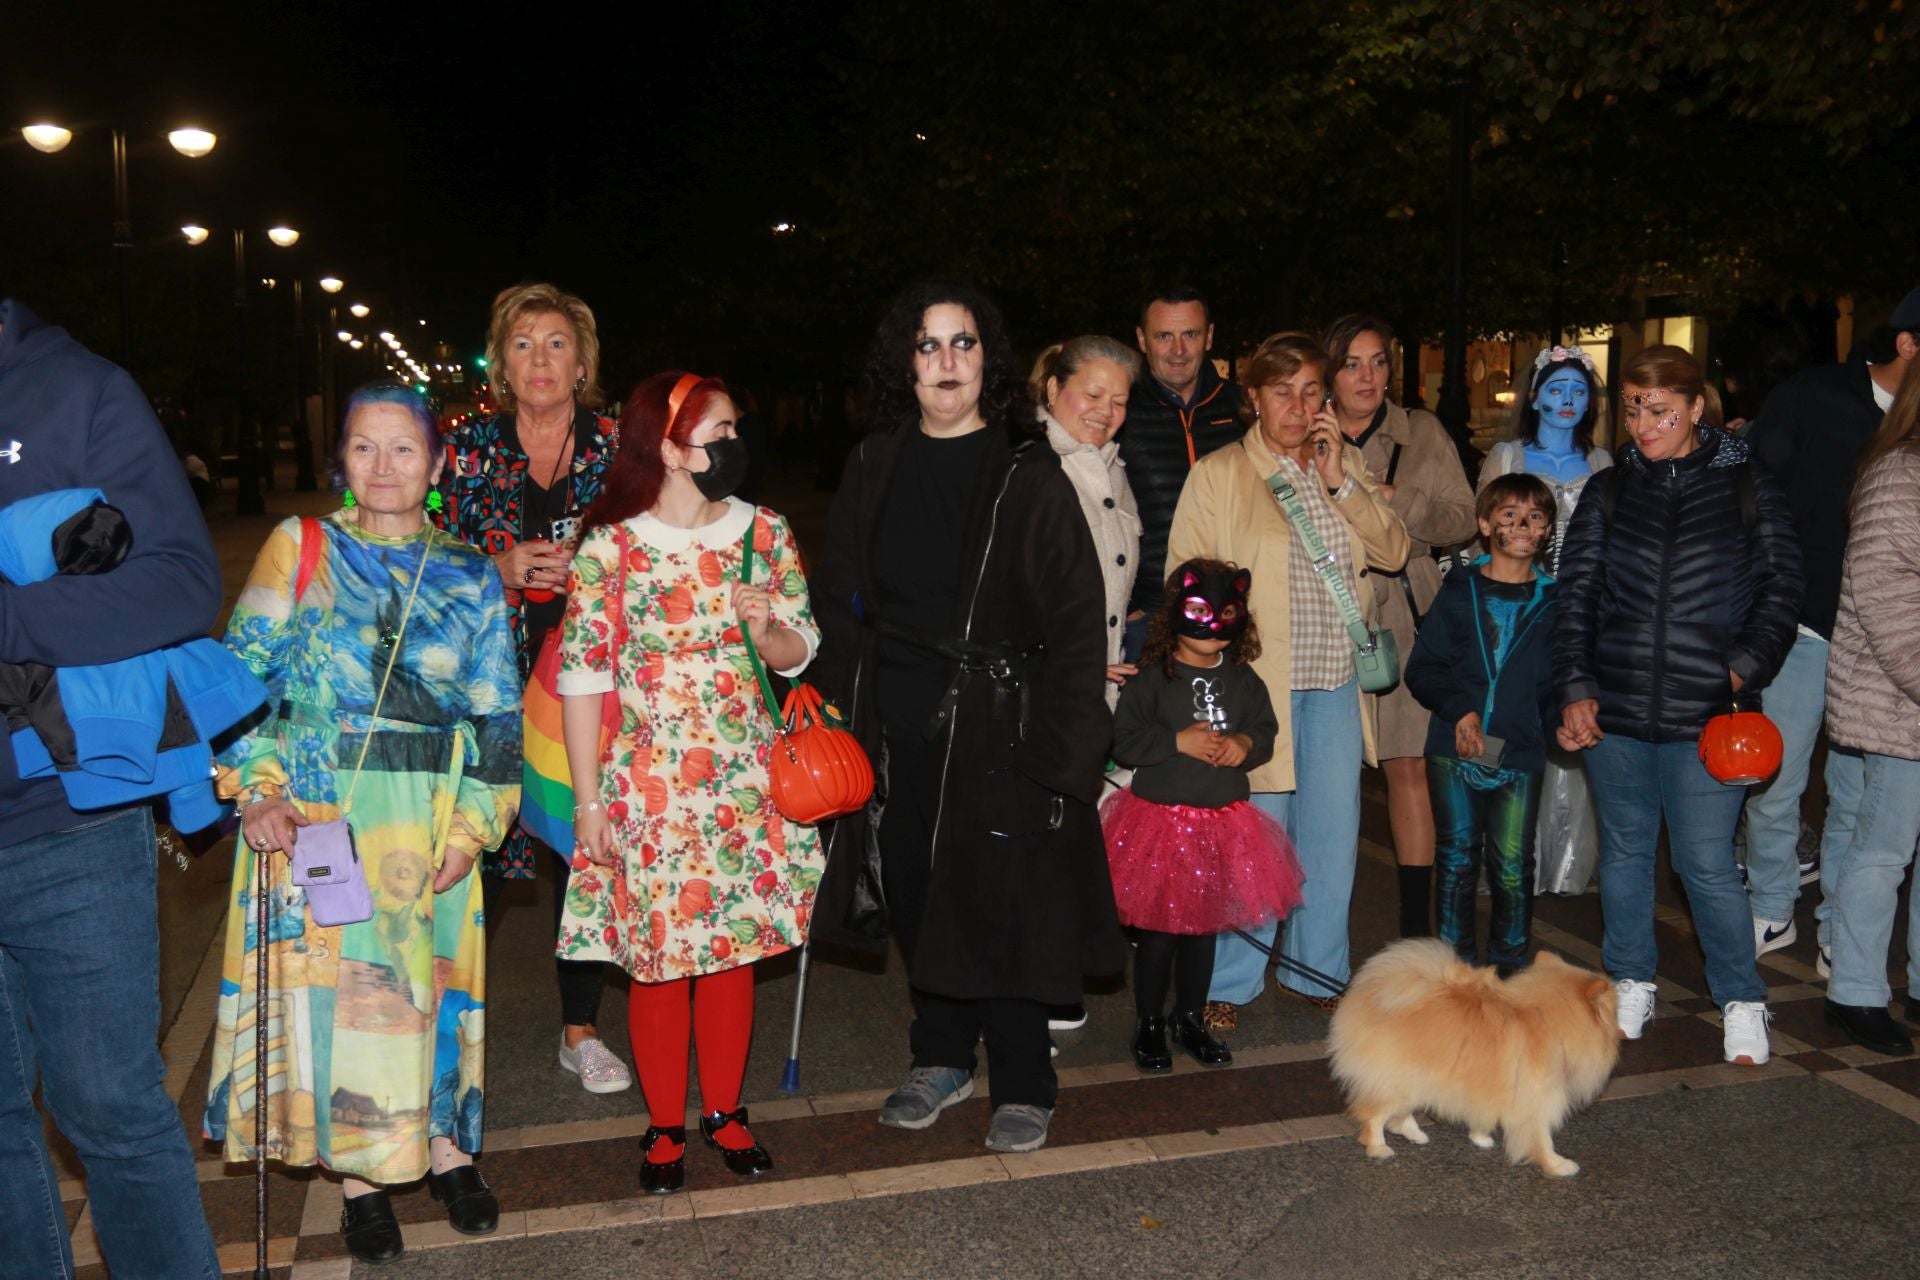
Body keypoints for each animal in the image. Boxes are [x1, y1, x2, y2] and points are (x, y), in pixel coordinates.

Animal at [1336, 940, 1620, 1182]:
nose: (1623, 1027)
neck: (1546, 1021)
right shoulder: (1537, 1101)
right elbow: (1542, 1139)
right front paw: (1557, 1165)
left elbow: (1482, 1114)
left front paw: (1480, 1138)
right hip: (1400, 1081)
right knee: (1373, 1115)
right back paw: (1378, 1147)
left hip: (1417, 1080)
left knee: (1399, 1113)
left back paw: (1415, 1134)